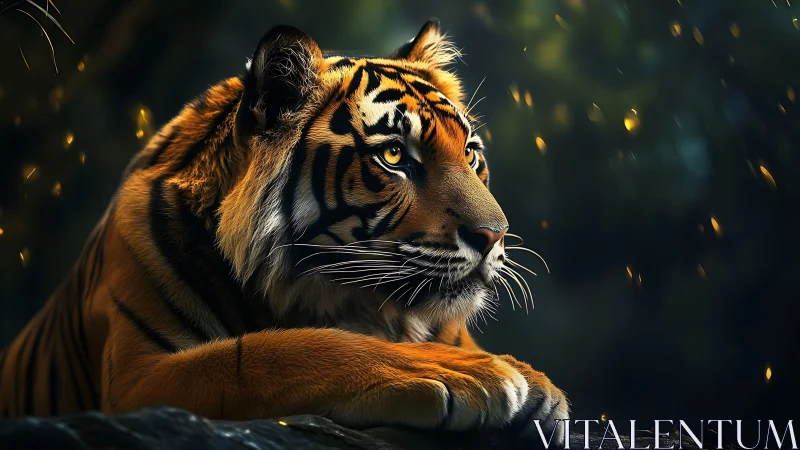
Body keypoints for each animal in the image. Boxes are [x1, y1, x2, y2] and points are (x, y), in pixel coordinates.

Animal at [0, 19, 569, 442]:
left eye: (470, 153)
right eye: (393, 156)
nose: (494, 235)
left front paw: (532, 382)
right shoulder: (139, 380)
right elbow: (280, 350)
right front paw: (472, 373)